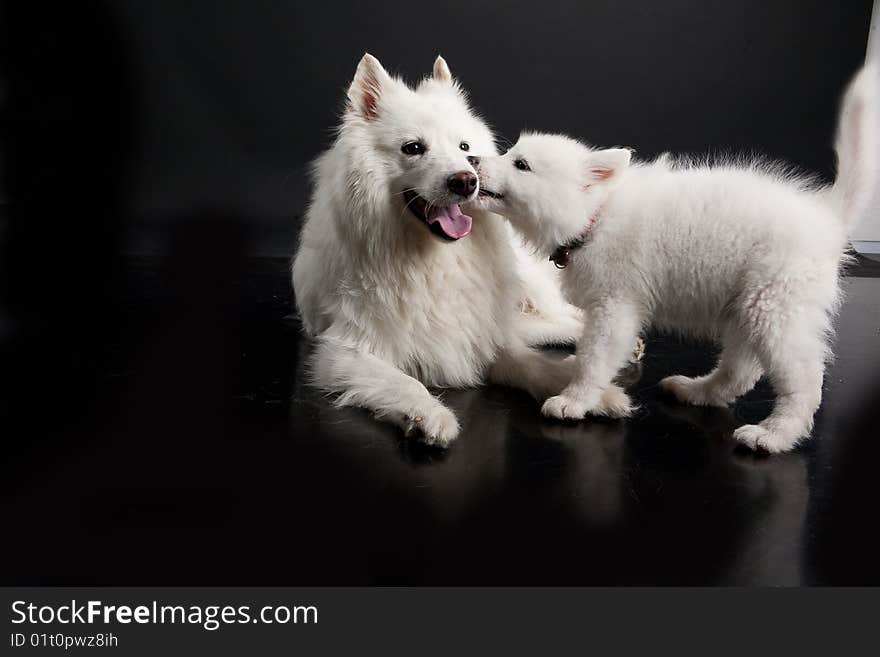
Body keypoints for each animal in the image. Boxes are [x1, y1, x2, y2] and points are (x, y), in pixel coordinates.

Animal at [292, 55, 600, 446]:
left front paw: (596, 395)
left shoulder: (479, 332)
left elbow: (533, 363)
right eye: (413, 148)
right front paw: (429, 415)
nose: (467, 181)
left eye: (464, 149)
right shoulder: (344, 350)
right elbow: (404, 382)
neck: (431, 261)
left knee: (554, 314)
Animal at [478, 68, 876, 456]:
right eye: (511, 153)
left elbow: (595, 357)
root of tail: (826, 215)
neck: (597, 215)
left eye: (521, 165)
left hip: (776, 308)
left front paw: (575, 400)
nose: (474, 161)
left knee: (804, 379)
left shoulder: (615, 306)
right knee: (740, 372)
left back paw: (775, 434)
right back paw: (696, 391)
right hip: (749, 307)